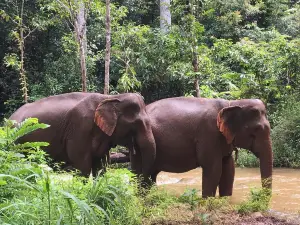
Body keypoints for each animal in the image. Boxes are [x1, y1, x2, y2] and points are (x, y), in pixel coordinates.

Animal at [130, 96, 274, 197]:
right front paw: (207, 201)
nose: (258, 197)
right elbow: (213, 168)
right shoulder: (209, 134)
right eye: (256, 130)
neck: (231, 103)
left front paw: (225, 199)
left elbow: (229, 168)